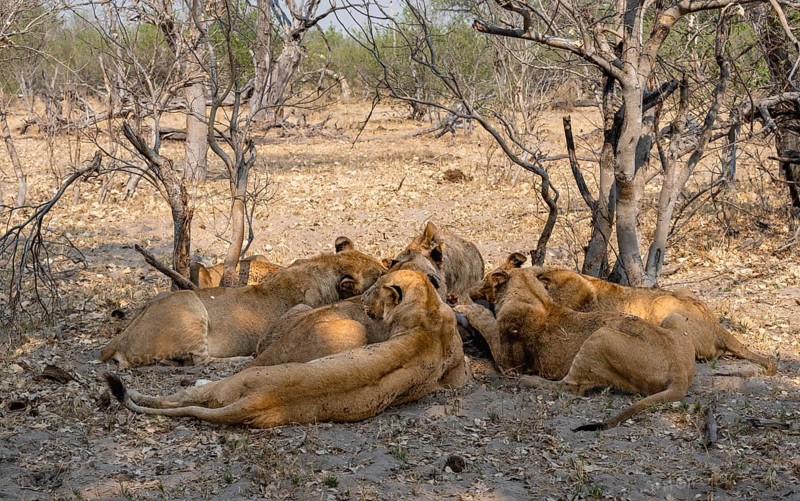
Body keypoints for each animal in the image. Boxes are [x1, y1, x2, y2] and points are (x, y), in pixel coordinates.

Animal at [99, 237, 386, 368]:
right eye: (380, 275)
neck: (327, 266)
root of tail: (119, 339)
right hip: (190, 305)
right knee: (202, 360)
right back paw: (239, 358)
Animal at [458, 261, 696, 431]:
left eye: (486, 279)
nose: (471, 290)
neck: (531, 294)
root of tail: (679, 371)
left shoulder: (510, 363)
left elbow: (488, 324)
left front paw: (469, 308)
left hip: (600, 336)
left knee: (572, 387)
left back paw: (529, 381)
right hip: (674, 317)